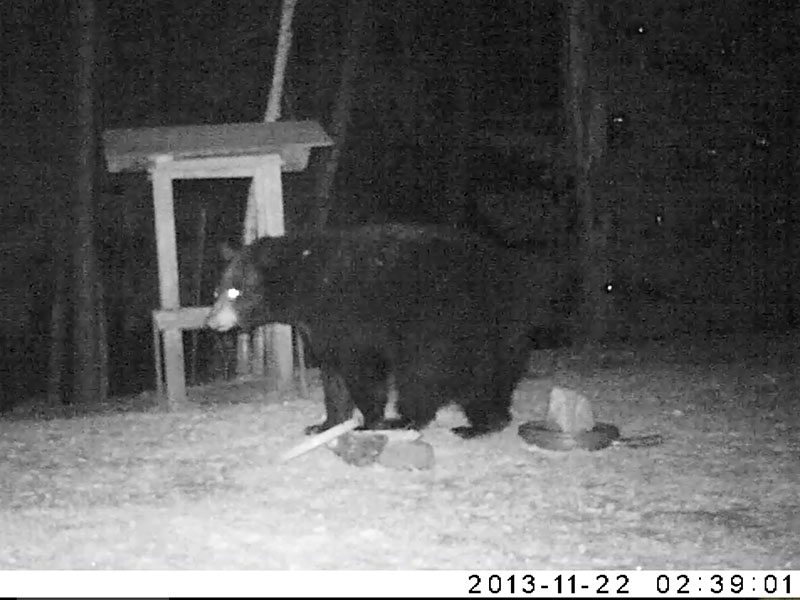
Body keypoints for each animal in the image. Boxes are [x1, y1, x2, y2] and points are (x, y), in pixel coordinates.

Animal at [205, 223, 571, 439]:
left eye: (236, 291)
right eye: (217, 290)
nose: (210, 322)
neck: (311, 283)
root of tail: (521, 280)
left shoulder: (353, 318)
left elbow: (362, 371)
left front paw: (370, 420)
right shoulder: (324, 327)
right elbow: (333, 374)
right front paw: (324, 423)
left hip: (447, 328)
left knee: (427, 377)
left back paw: (421, 421)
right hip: (498, 337)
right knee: (492, 377)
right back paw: (490, 420)